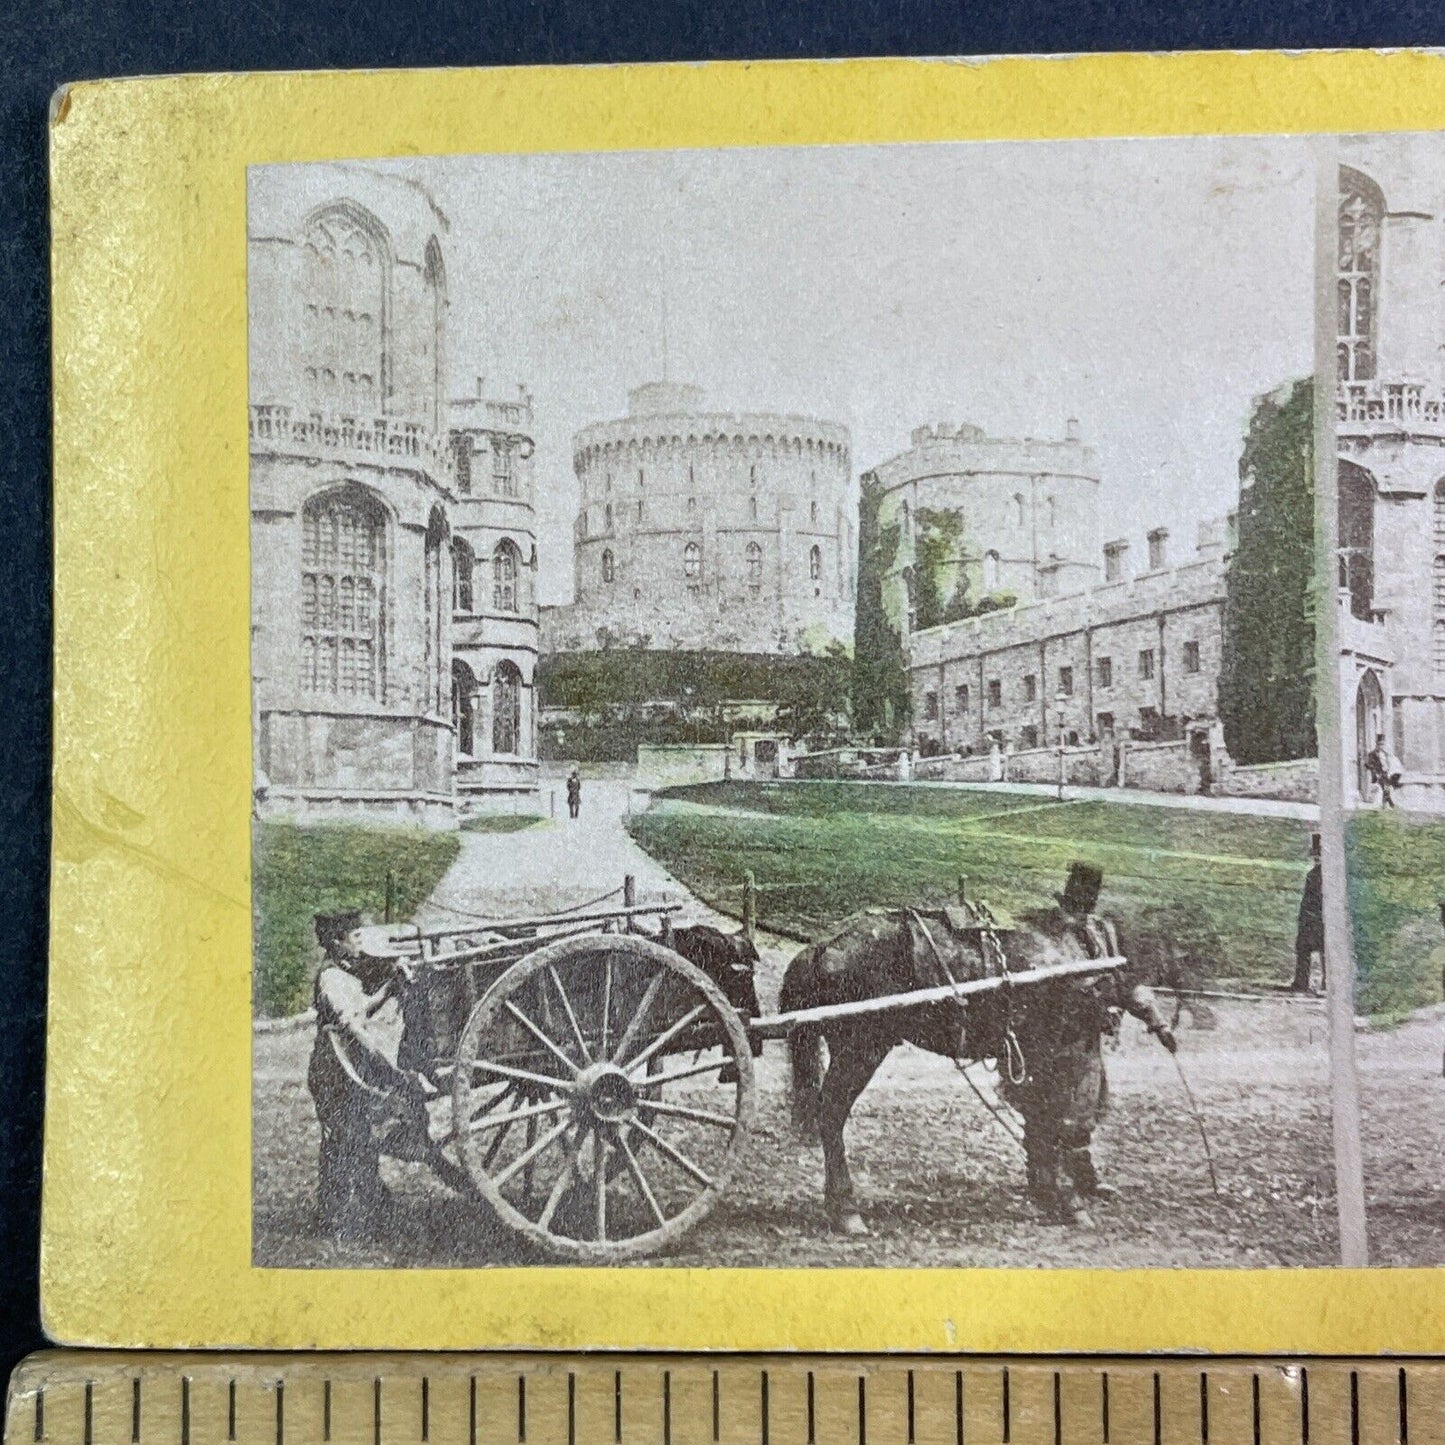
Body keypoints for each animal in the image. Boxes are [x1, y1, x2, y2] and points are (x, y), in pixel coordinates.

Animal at [780, 895, 1138, 1236]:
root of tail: (818, 947)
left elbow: (1040, 1122)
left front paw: (1048, 1191)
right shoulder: (1062, 1049)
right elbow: (1058, 1120)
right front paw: (1068, 1198)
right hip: (860, 1050)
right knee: (831, 1115)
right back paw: (845, 1209)